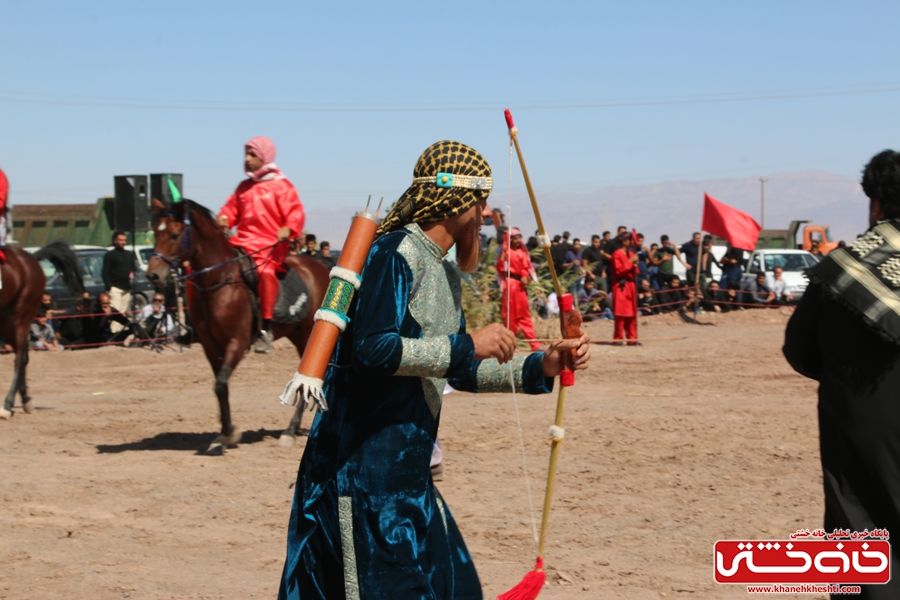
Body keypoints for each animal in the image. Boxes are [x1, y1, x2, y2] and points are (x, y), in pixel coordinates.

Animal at [0, 241, 84, 420]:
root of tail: (30, 257)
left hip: (20, 315)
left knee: (20, 359)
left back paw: (8, 405)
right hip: (7, 321)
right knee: (23, 355)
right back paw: (25, 400)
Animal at [148, 199, 330, 452]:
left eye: (174, 235)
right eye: (156, 232)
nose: (153, 275)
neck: (219, 281)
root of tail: (322, 267)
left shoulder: (237, 342)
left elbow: (220, 383)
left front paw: (229, 433)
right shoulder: (210, 346)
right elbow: (220, 387)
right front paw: (225, 433)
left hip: (308, 337)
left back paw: (290, 431)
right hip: (296, 335)